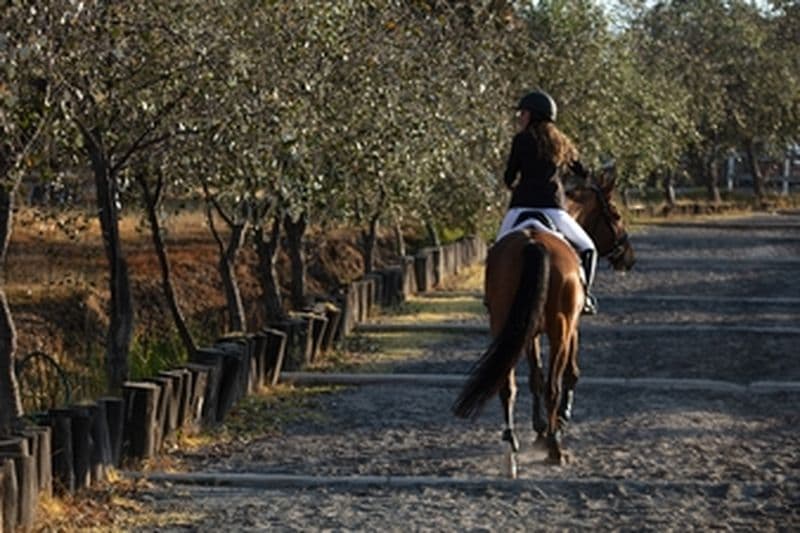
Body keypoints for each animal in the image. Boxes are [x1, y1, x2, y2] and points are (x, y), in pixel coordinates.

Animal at [453, 172, 635, 471]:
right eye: (616, 215)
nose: (629, 258)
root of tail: (533, 242)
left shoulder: (529, 330)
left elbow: (534, 377)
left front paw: (540, 428)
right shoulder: (572, 326)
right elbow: (570, 373)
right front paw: (559, 421)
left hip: (505, 323)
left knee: (507, 383)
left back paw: (512, 447)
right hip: (560, 328)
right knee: (553, 385)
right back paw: (555, 448)